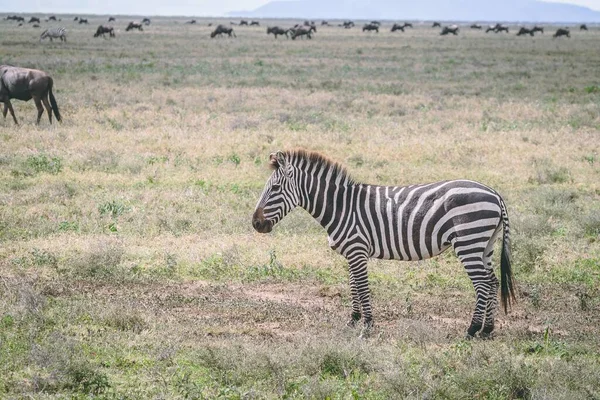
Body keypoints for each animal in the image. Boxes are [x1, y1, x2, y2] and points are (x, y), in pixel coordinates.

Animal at [252, 150, 516, 338]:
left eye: (275, 188)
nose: (255, 223)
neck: (341, 207)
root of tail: (494, 193)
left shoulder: (357, 249)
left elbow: (361, 287)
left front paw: (367, 326)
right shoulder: (352, 253)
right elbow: (353, 286)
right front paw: (353, 320)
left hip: (468, 241)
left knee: (483, 284)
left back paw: (472, 330)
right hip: (485, 244)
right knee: (493, 282)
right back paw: (487, 330)